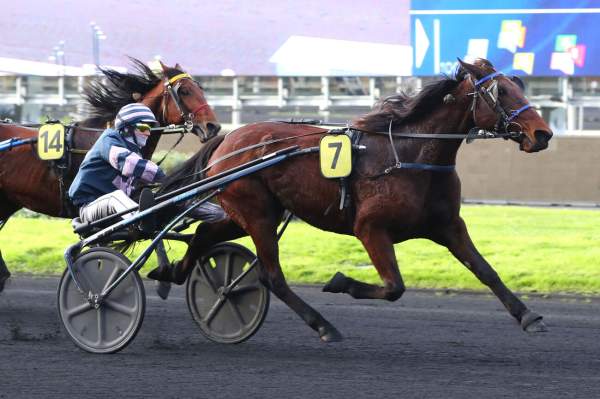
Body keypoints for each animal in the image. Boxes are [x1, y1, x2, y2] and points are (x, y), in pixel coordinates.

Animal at [154, 57, 552, 342]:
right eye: (501, 93)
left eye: (516, 85)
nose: (543, 133)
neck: (409, 153)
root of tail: (228, 138)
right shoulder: (370, 228)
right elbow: (394, 287)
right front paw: (340, 281)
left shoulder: (448, 225)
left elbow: (485, 270)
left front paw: (528, 316)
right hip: (257, 215)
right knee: (272, 276)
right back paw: (323, 325)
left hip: (250, 213)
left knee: (204, 235)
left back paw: (171, 273)